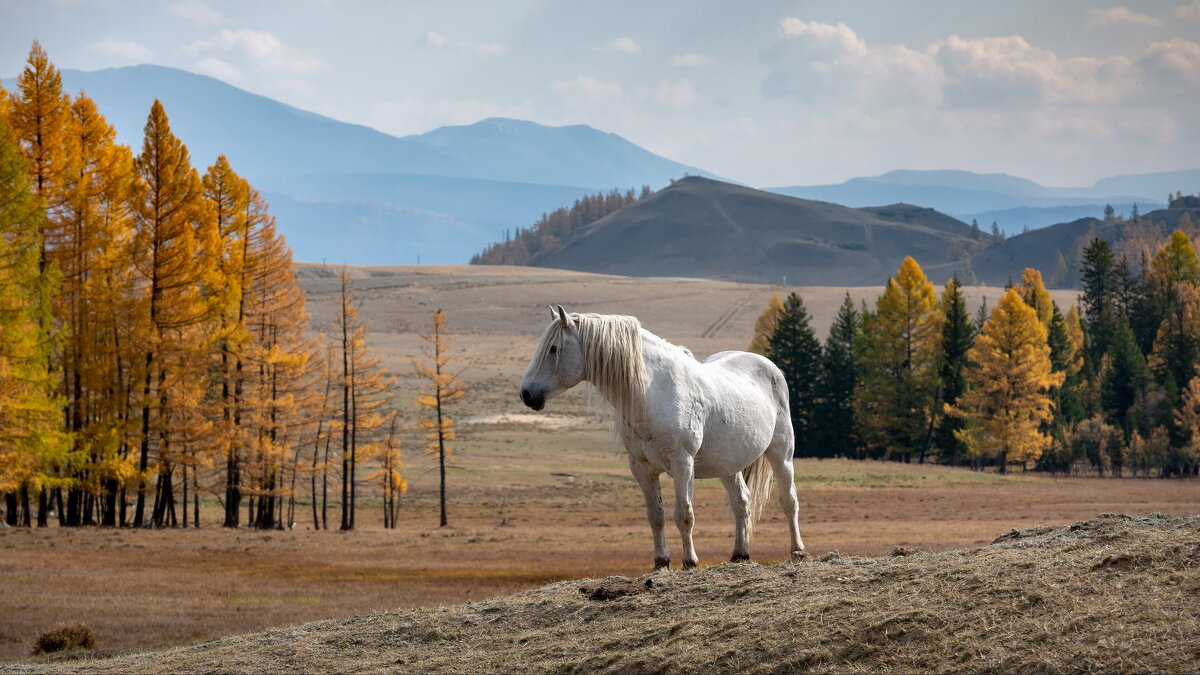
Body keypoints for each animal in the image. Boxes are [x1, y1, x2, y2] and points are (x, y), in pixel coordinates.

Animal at [518, 306, 806, 566]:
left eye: (554, 349)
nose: (526, 394)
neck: (652, 393)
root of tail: (768, 366)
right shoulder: (642, 468)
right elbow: (655, 516)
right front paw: (661, 562)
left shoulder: (682, 464)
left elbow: (684, 515)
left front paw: (690, 561)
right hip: (728, 466)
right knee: (741, 503)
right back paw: (740, 554)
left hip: (781, 453)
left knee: (789, 500)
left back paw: (797, 551)